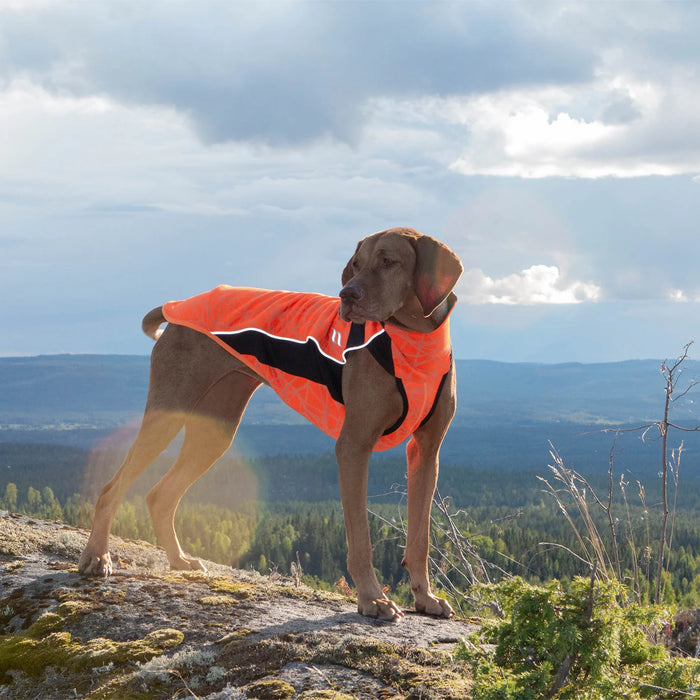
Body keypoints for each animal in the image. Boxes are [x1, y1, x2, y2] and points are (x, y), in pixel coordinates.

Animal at [79, 227, 462, 620]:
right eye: (356, 264)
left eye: (388, 261)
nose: (347, 295)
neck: (414, 341)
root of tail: (179, 306)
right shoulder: (354, 446)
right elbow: (360, 539)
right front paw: (372, 599)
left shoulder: (426, 453)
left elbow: (420, 538)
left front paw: (425, 597)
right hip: (168, 411)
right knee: (112, 488)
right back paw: (97, 557)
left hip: (216, 430)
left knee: (160, 495)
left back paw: (179, 560)